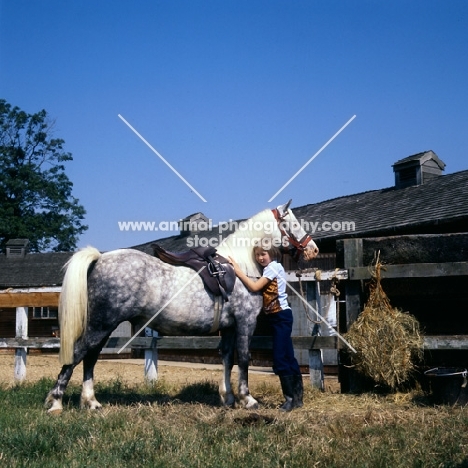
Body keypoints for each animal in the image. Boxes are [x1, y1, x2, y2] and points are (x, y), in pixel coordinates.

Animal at [44, 201, 318, 414]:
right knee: (79, 353)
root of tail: (101, 258)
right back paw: (56, 402)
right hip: (102, 324)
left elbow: (227, 358)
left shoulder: (229, 327)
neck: (240, 267)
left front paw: (228, 397)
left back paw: (91, 402)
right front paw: (247, 399)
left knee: (90, 357)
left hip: (103, 325)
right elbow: (243, 358)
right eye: (292, 224)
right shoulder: (245, 322)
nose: (313, 249)